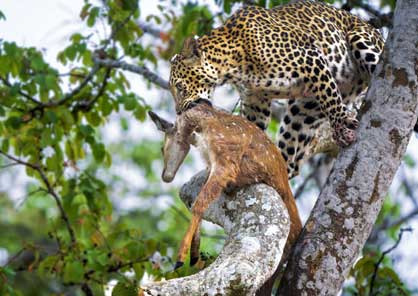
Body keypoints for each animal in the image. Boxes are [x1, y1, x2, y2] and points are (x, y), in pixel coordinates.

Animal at [168, 0, 384, 178]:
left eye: (180, 87)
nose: (178, 111)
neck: (233, 65)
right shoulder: (255, 101)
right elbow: (251, 128)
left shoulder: (311, 59)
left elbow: (332, 103)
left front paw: (342, 126)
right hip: (305, 109)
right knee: (292, 156)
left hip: (363, 42)